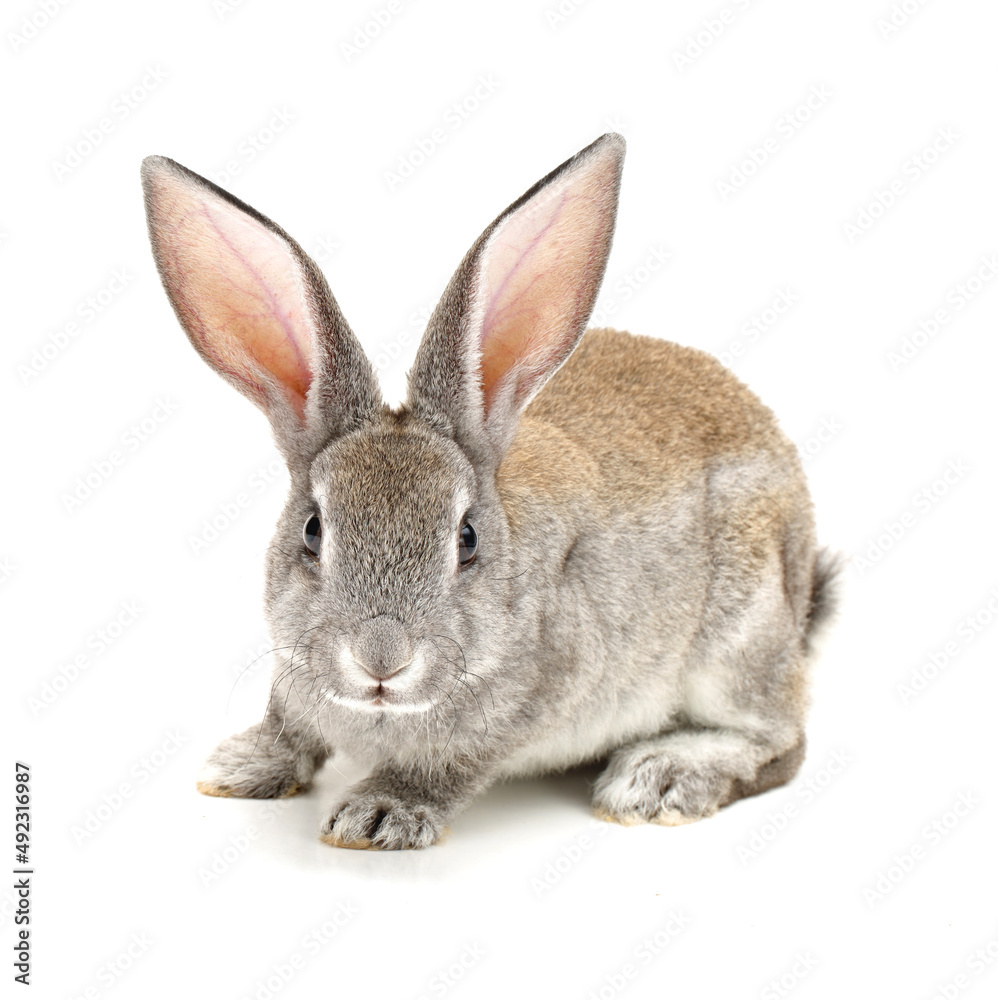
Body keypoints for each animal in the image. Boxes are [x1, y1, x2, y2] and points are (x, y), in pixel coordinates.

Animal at [141, 133, 837, 850]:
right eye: (312, 531)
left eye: (467, 539)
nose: (381, 659)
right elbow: (290, 725)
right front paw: (242, 764)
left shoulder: (539, 691)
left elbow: (451, 764)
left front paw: (378, 814)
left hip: (740, 633)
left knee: (781, 741)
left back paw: (659, 778)